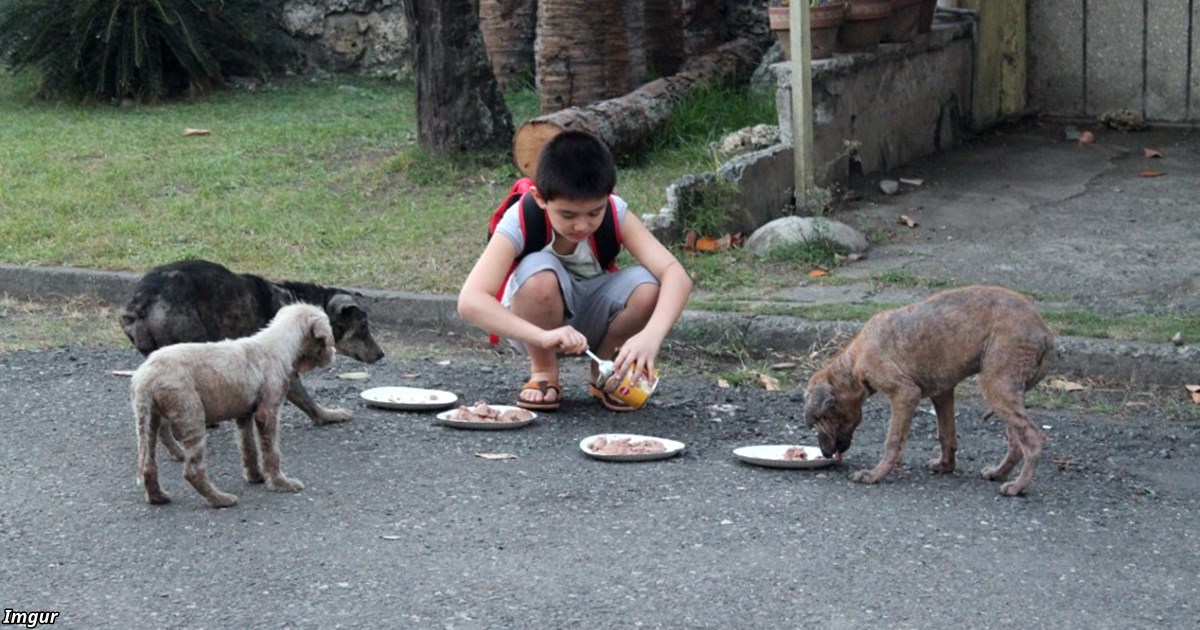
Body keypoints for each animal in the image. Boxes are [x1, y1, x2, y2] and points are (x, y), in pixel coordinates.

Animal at [121, 258, 384, 424]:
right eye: (363, 328)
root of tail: (141, 302)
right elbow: (307, 400)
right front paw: (329, 416)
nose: (381, 355)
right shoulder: (284, 369)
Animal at [131, 301, 336, 506]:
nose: (334, 354)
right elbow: (271, 452)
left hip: (150, 419)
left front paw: (255, 476)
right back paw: (220, 499)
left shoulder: (244, 414)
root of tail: (146, 377)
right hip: (190, 415)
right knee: (192, 471)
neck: (279, 343)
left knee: (148, 465)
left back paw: (157, 497)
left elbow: (248, 447)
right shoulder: (267, 412)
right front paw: (280, 482)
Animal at [806, 284, 1051, 496]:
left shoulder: (905, 394)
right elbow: (945, 433)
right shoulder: (942, 393)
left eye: (822, 419)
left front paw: (876, 475)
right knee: (1016, 442)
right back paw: (999, 473)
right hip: (1005, 388)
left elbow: (892, 441)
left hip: (997, 383)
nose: (825, 453)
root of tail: (1045, 330)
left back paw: (1018, 486)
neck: (853, 362)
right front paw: (945, 465)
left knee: (1032, 440)